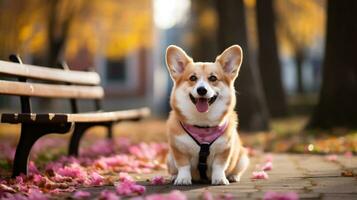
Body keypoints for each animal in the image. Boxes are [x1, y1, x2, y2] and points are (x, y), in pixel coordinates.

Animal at [164, 44, 248, 185]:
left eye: (213, 78)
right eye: (193, 78)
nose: (201, 90)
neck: (203, 124)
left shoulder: (224, 150)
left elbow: (219, 165)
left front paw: (219, 179)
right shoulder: (178, 150)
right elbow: (183, 165)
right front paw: (183, 179)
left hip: (243, 158)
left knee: (236, 169)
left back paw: (233, 176)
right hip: (169, 158)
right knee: (174, 169)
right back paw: (173, 177)